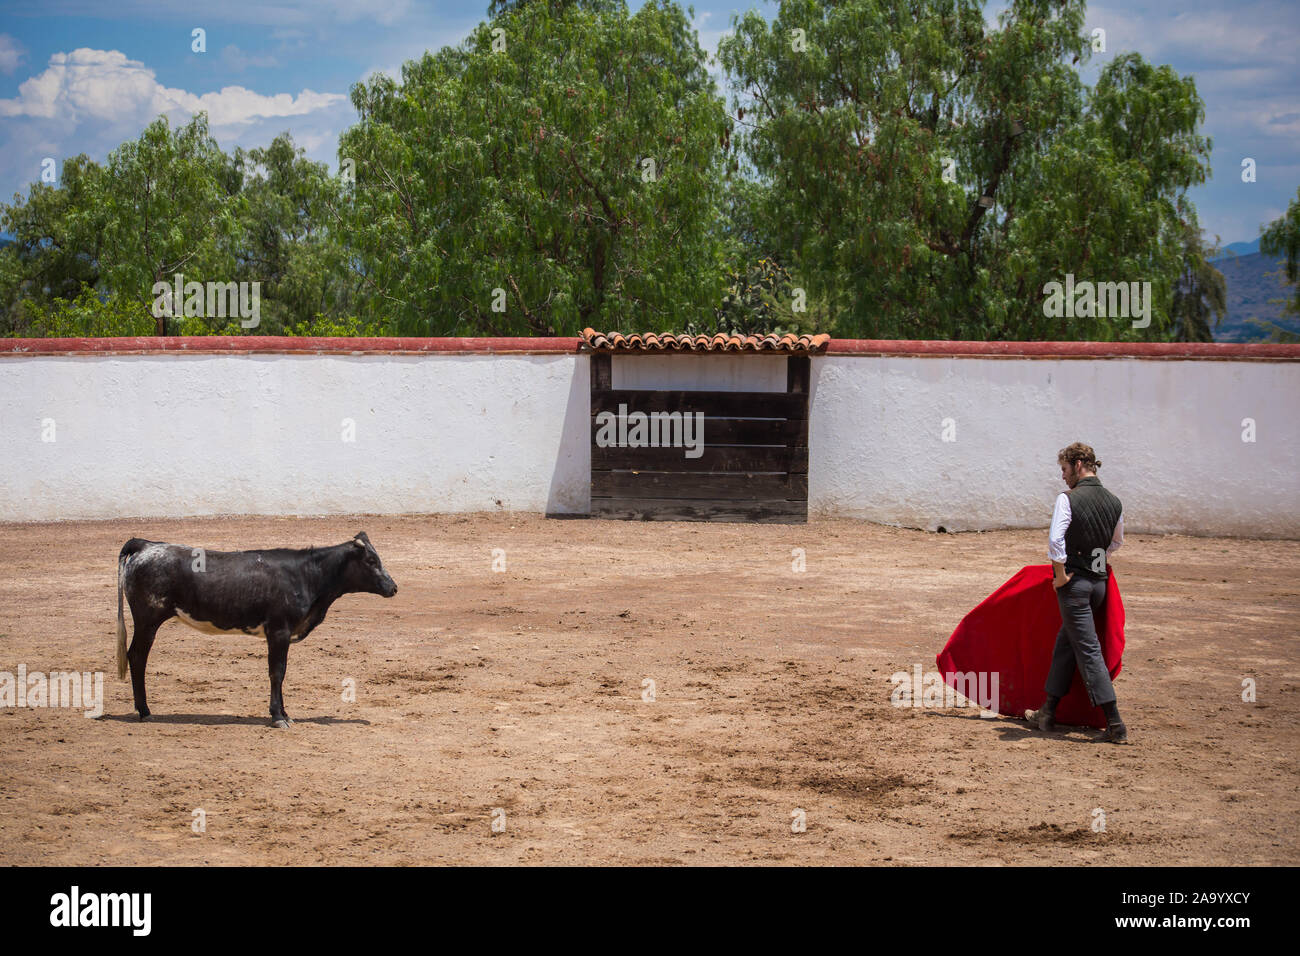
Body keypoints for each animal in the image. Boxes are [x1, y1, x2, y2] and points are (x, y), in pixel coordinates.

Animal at [115, 531, 397, 727]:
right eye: (371, 560)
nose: (393, 587)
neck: (306, 575)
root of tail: (146, 545)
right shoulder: (279, 631)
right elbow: (277, 672)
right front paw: (278, 716)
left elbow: (280, 673)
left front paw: (285, 714)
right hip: (147, 620)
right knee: (137, 657)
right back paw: (145, 711)